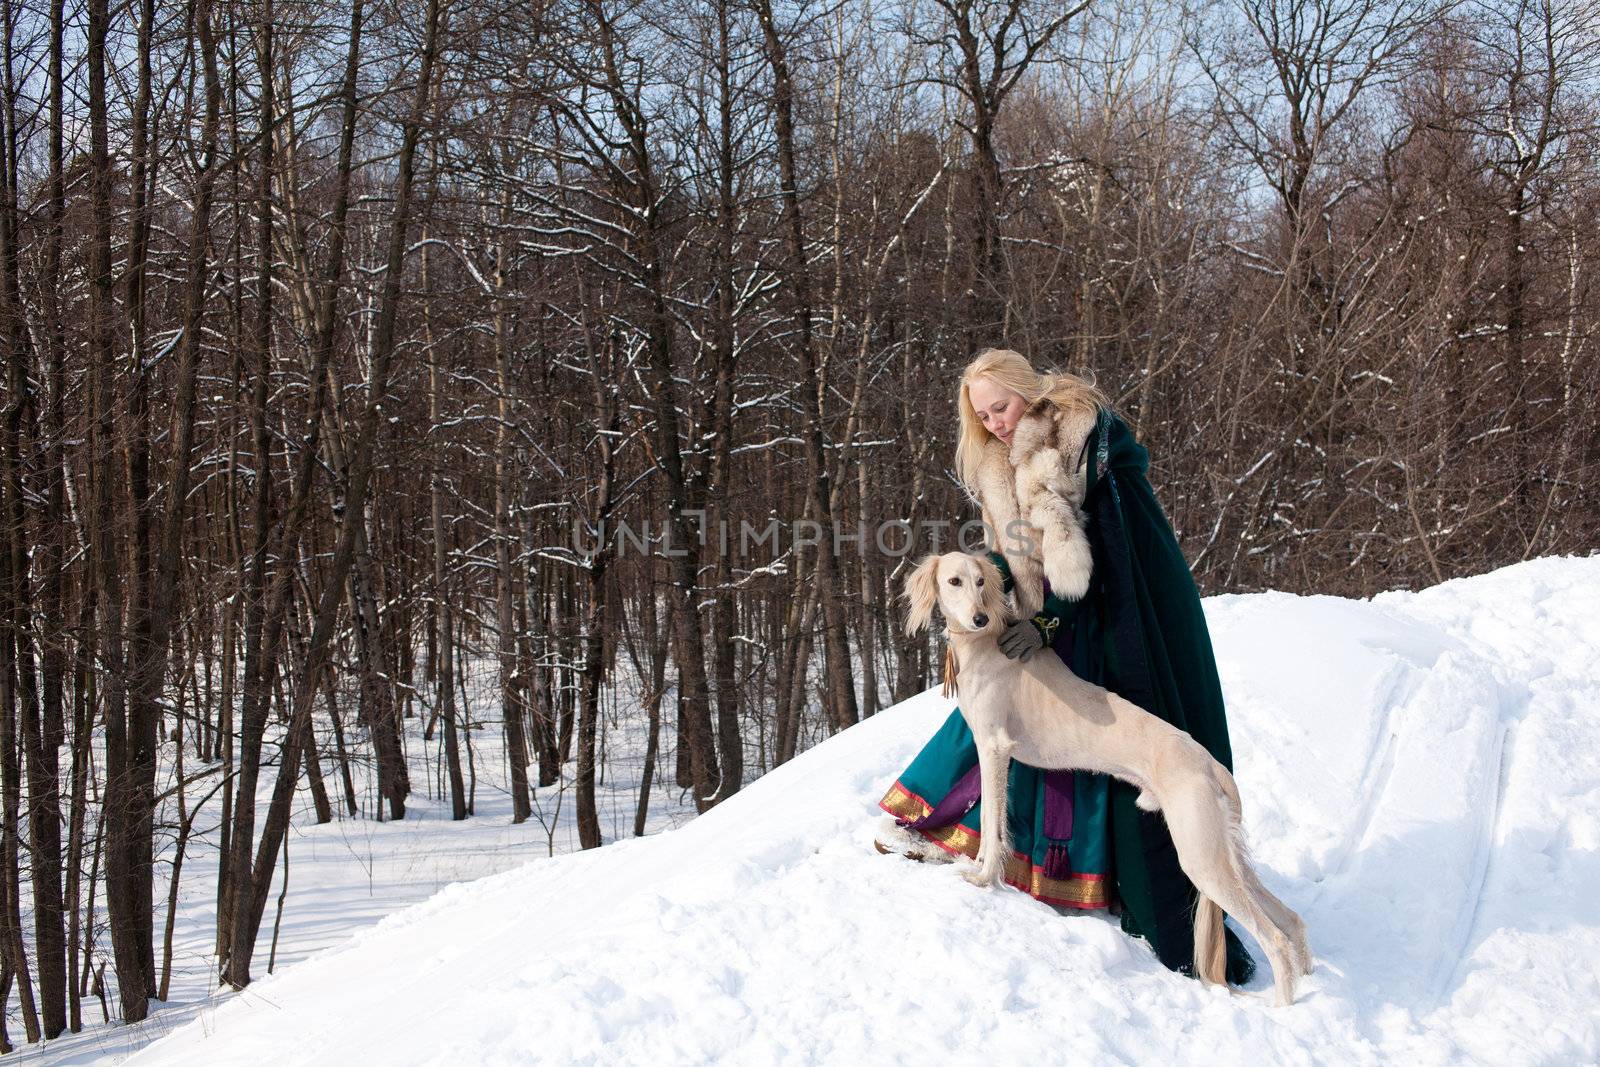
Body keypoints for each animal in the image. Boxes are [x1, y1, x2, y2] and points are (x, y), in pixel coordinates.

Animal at [902, 556, 1312, 1004]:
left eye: (979, 582)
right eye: (954, 581)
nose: (979, 618)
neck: (987, 644)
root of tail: (1210, 764)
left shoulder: (994, 748)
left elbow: (993, 826)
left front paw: (982, 878)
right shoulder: (992, 751)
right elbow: (988, 821)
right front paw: (976, 866)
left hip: (1201, 857)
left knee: (1274, 938)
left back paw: (1283, 1007)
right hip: (1225, 853)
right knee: (1291, 919)